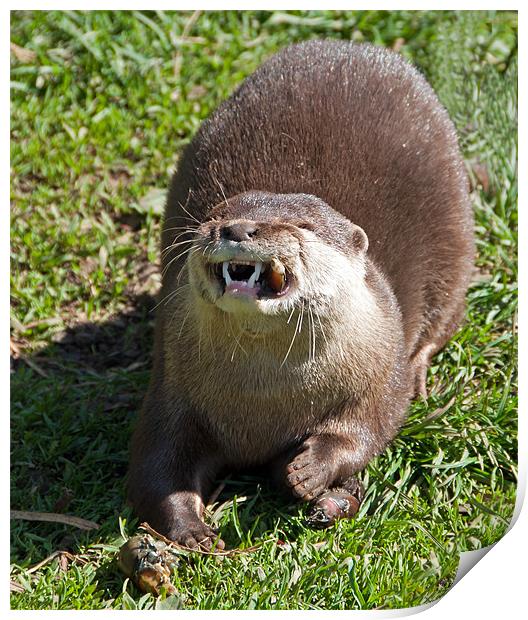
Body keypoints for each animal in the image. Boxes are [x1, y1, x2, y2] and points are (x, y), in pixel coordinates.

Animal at [128, 41, 474, 548]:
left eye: (302, 225)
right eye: (216, 213)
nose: (236, 228)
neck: (266, 399)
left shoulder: (381, 366)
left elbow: (370, 427)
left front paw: (310, 472)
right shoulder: (171, 385)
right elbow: (156, 464)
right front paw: (192, 530)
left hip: (456, 241)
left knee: (444, 319)